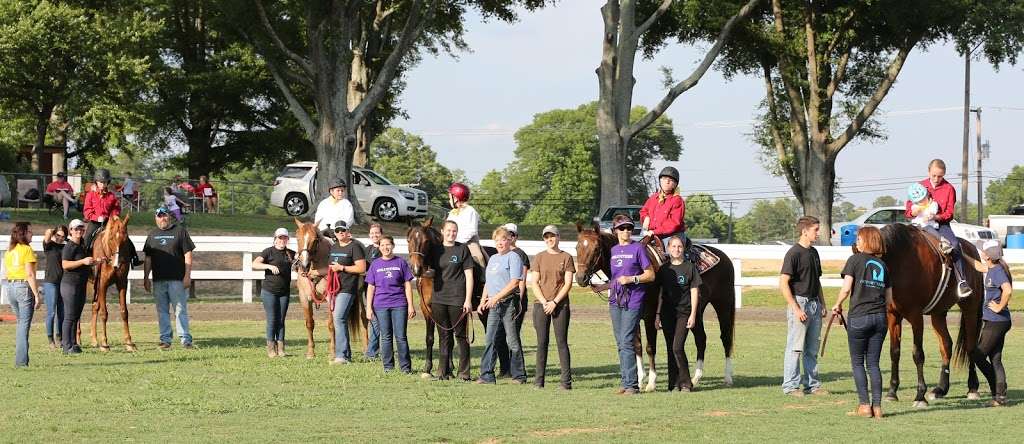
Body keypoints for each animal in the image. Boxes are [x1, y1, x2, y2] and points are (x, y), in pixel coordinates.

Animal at [88, 213, 137, 351]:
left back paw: (94, 339)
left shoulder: (122, 283)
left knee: (95, 307)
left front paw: (129, 342)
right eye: (110, 239)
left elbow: (124, 312)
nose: (117, 264)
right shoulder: (103, 284)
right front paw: (105, 343)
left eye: (125, 239)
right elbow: (104, 313)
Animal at [292, 218, 364, 360]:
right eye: (297, 238)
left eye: (315, 239)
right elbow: (309, 323)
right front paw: (310, 352)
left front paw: (332, 353)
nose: (304, 265)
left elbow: (331, 325)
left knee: (365, 319)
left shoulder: (331, 297)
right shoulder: (304, 298)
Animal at [577, 224, 737, 390]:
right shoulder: (633, 315)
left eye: (596, 248)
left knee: (726, 337)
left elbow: (650, 347)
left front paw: (651, 382)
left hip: (724, 304)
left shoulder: (650, 317)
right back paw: (695, 378)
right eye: (577, 247)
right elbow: (637, 346)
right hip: (696, 312)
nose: (580, 278)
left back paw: (727, 378)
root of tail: (724, 257)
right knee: (701, 339)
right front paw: (640, 380)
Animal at [880, 224, 983, 407]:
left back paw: (972, 388)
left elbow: (918, 354)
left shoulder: (916, 316)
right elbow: (894, 352)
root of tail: (973, 249)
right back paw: (941, 389)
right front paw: (892, 392)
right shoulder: (893, 316)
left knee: (970, 347)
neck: (902, 260)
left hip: (970, 309)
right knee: (946, 346)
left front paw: (920, 395)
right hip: (938, 314)